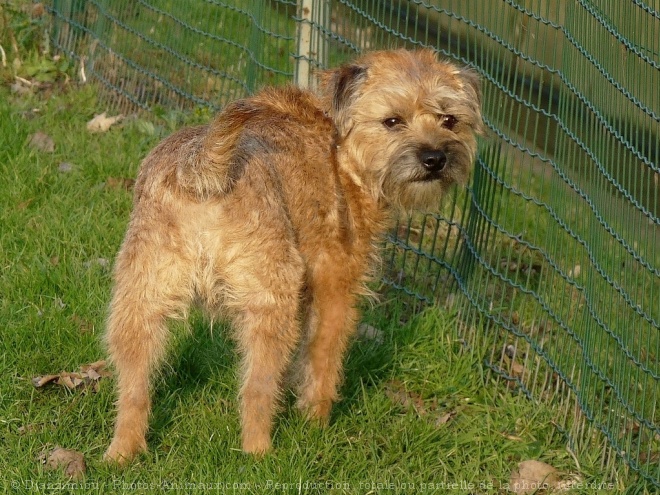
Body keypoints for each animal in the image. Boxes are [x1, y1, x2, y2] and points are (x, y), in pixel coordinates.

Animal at [105, 48, 482, 464]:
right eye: (392, 121)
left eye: (450, 120)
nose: (435, 158)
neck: (339, 144)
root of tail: (202, 170)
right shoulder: (334, 286)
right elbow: (322, 357)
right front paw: (315, 420)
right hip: (270, 301)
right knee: (256, 388)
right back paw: (260, 454)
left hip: (140, 300)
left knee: (134, 389)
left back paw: (122, 453)